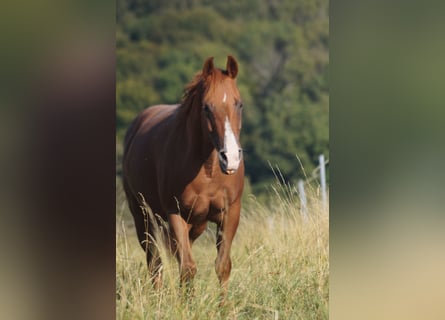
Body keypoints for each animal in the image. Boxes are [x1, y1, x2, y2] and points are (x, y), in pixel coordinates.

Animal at [122, 56, 243, 294]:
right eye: (206, 107)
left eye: (238, 103)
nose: (231, 158)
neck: (208, 170)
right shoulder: (175, 214)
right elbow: (187, 268)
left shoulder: (230, 213)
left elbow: (222, 266)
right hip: (143, 216)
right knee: (155, 261)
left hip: (195, 224)